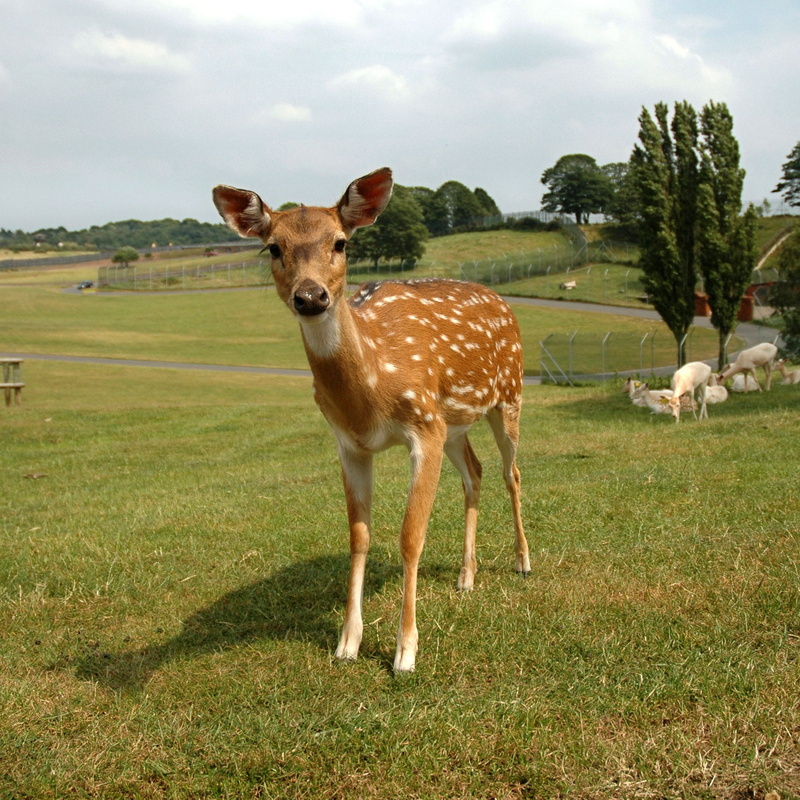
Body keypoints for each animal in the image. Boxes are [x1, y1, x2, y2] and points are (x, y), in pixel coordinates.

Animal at [212, 168, 530, 673]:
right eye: (273, 247)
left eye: (341, 242)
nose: (311, 296)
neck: (373, 391)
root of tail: (502, 299)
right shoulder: (351, 444)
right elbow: (358, 536)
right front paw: (347, 642)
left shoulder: (423, 426)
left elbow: (410, 536)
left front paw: (406, 650)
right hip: (454, 423)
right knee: (475, 473)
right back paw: (466, 575)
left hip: (509, 395)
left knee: (511, 472)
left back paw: (522, 561)